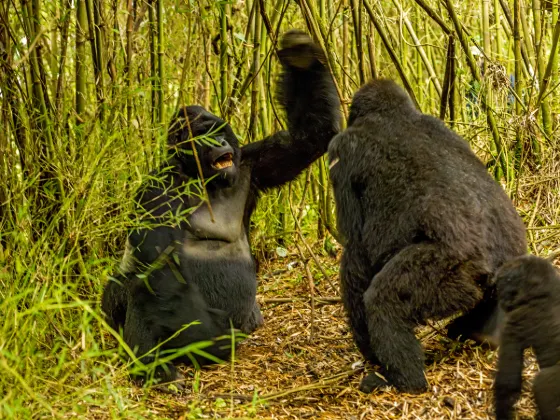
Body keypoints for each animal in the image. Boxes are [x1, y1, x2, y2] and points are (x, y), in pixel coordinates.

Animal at [326, 79, 528, 394]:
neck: (391, 114)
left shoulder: (342, 149)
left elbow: (354, 249)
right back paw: (479, 329)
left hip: (447, 270)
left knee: (384, 299)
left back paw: (403, 381)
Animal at [494, 254, 560, 418]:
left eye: (499, 287)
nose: (502, 302)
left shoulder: (516, 322)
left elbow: (508, 378)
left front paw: (502, 413)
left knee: (542, 384)